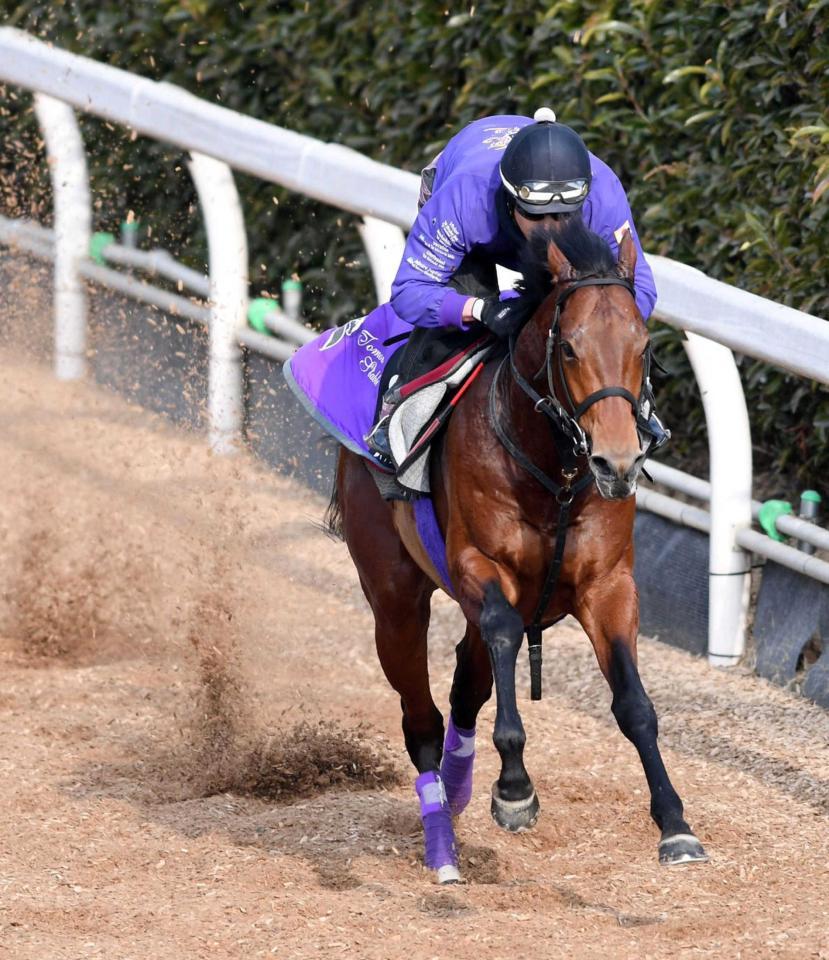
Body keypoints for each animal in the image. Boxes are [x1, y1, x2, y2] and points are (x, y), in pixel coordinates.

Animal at [324, 219, 704, 884]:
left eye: (642, 347)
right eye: (570, 349)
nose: (617, 463)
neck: (555, 474)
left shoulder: (608, 585)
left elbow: (635, 704)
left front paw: (675, 824)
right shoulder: (481, 569)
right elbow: (502, 633)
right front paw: (515, 789)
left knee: (464, 690)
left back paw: (457, 793)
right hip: (394, 597)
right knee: (423, 719)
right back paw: (443, 848)